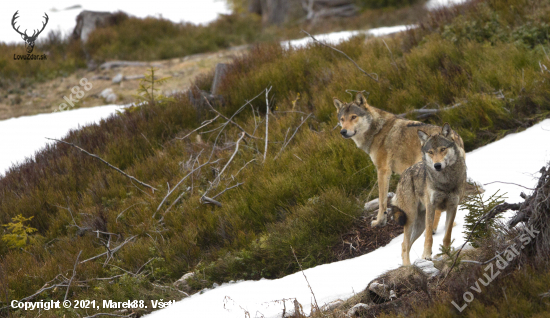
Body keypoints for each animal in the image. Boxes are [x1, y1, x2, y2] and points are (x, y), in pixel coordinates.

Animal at [336, 93, 466, 230]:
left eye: (353, 117)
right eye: (342, 119)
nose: (343, 131)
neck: (376, 130)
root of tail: (455, 136)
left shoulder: (383, 170)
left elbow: (382, 201)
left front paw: (379, 221)